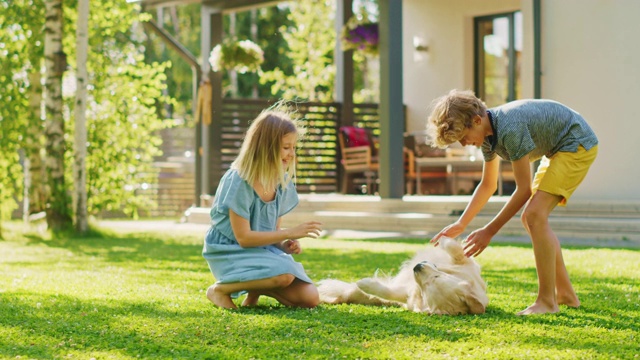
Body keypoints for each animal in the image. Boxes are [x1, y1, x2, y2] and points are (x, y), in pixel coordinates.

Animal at [318, 238, 488, 314]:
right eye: (436, 278)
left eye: (429, 285)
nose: (417, 267)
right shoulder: (465, 264)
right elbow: (455, 249)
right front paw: (445, 239)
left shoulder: (409, 292)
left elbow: (388, 292)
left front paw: (365, 284)